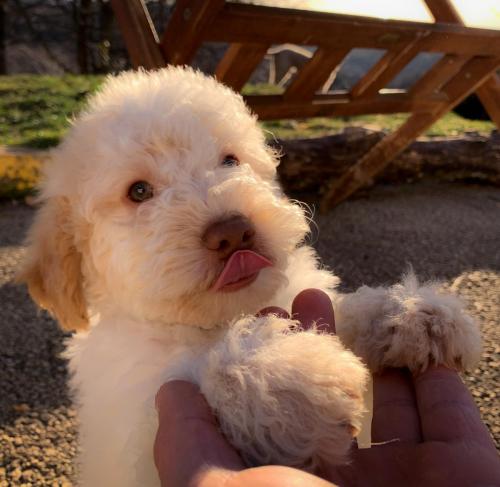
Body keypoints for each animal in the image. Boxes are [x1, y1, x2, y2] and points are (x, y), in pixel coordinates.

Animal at [19, 66, 480, 486]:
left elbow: (335, 305)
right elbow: (195, 370)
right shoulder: (135, 425)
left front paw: (403, 313)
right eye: (138, 192)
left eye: (229, 160)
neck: (222, 316)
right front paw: (288, 380)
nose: (232, 231)